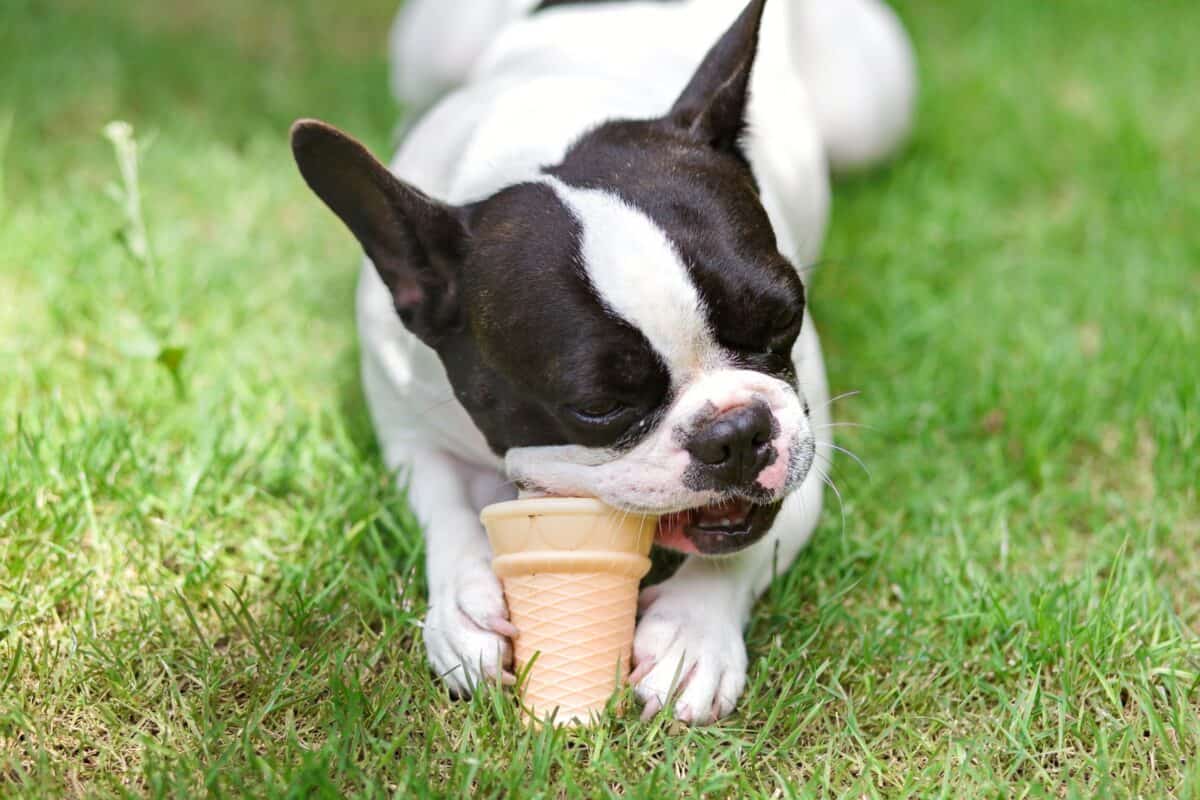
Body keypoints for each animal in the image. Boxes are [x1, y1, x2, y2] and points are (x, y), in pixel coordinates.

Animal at [292, 0, 916, 724]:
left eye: (784, 318)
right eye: (598, 406)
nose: (735, 432)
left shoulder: (806, 448)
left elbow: (751, 540)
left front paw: (693, 633)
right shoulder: (409, 433)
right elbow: (443, 506)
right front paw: (462, 606)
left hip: (869, 113)